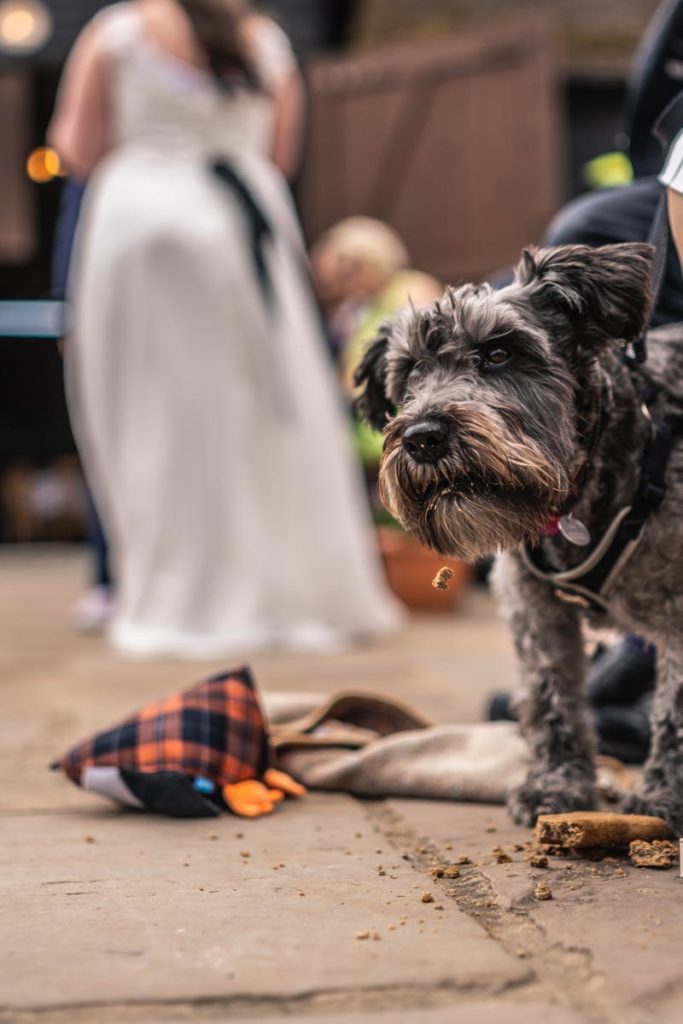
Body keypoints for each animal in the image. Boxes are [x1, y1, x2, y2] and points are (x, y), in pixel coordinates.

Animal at [356, 243, 683, 835]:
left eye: (499, 353)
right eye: (411, 368)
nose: (422, 437)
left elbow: (674, 713)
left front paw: (664, 799)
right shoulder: (534, 606)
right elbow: (552, 697)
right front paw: (557, 786)